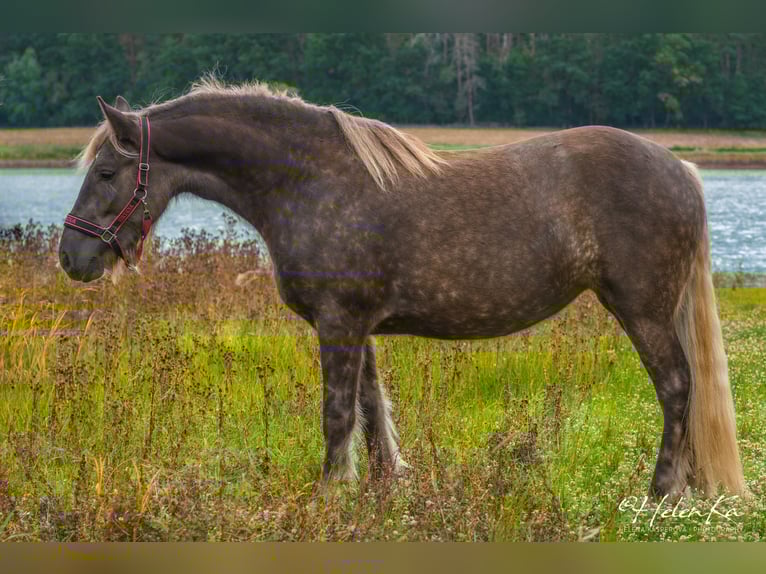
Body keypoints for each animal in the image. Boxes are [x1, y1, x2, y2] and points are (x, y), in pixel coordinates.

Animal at [58, 78, 746, 498]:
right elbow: (370, 410)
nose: (72, 256)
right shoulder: (356, 326)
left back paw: (660, 493)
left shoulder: (338, 323)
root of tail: (682, 168)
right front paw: (381, 489)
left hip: (643, 311)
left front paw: (328, 496)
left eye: (108, 170)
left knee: (676, 388)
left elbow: (337, 415)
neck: (309, 180)